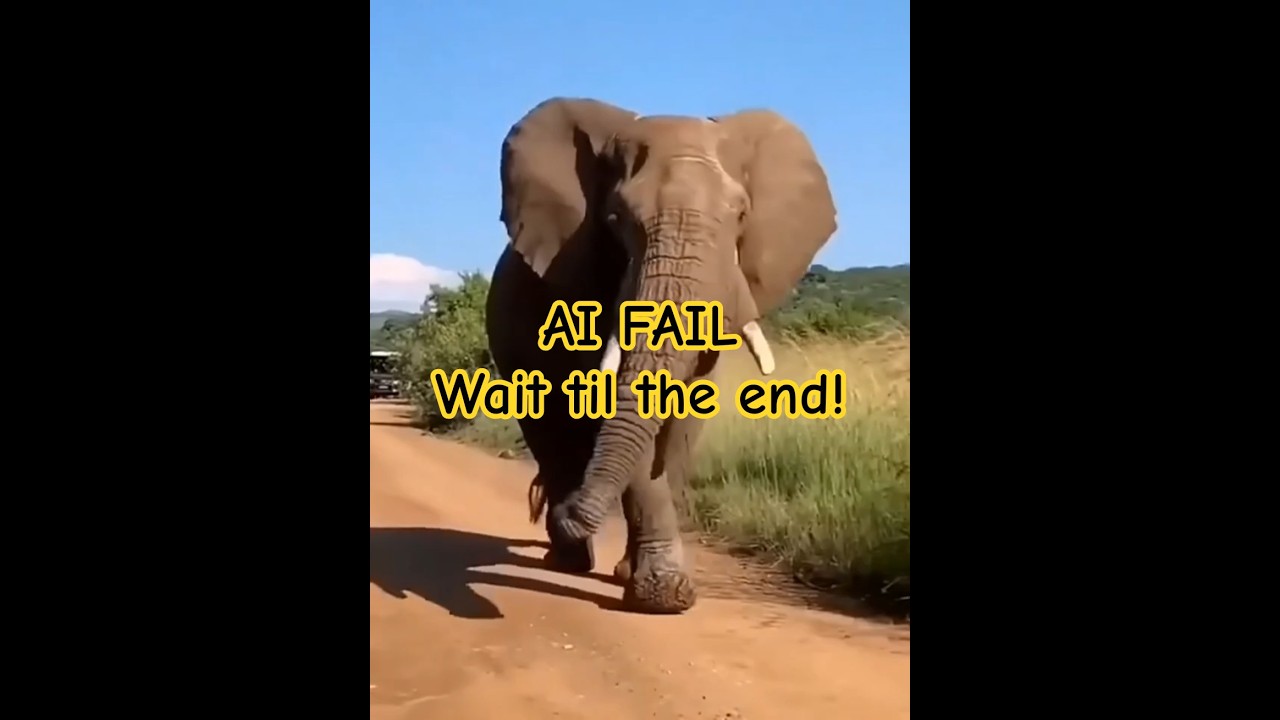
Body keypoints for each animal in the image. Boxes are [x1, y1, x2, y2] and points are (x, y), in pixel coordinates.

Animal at [485, 97, 837, 614]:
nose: (573, 512)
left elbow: (682, 417)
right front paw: (663, 596)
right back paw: (569, 555)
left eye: (741, 215)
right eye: (615, 219)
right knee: (549, 431)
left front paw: (647, 583)